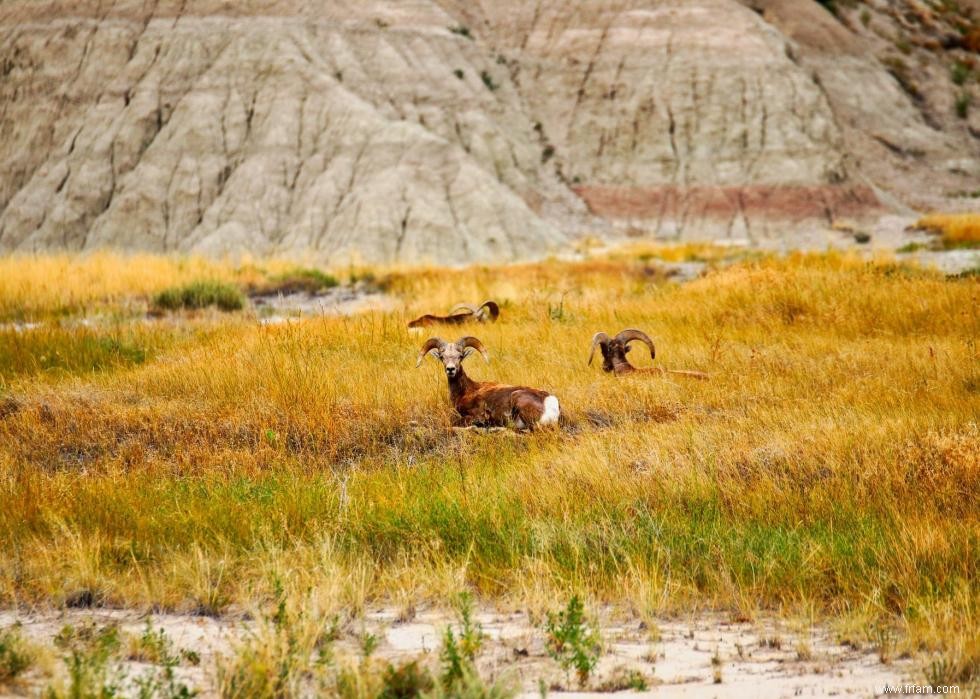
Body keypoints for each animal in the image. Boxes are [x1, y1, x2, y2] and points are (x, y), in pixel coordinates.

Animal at [418, 336, 564, 430]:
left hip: (518, 400)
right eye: (442, 357)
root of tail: (551, 403)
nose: (450, 369)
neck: (466, 391)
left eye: (460, 356)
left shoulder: (476, 415)